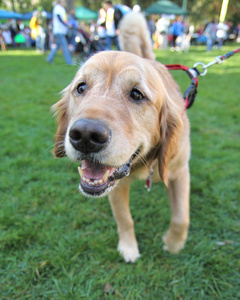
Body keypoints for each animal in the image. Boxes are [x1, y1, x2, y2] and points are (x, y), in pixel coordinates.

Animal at [51, 50, 190, 264]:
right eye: (81, 87)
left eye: (136, 94)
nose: (85, 135)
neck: (144, 164)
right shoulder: (117, 187)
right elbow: (125, 219)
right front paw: (128, 248)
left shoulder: (180, 170)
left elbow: (181, 218)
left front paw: (173, 244)